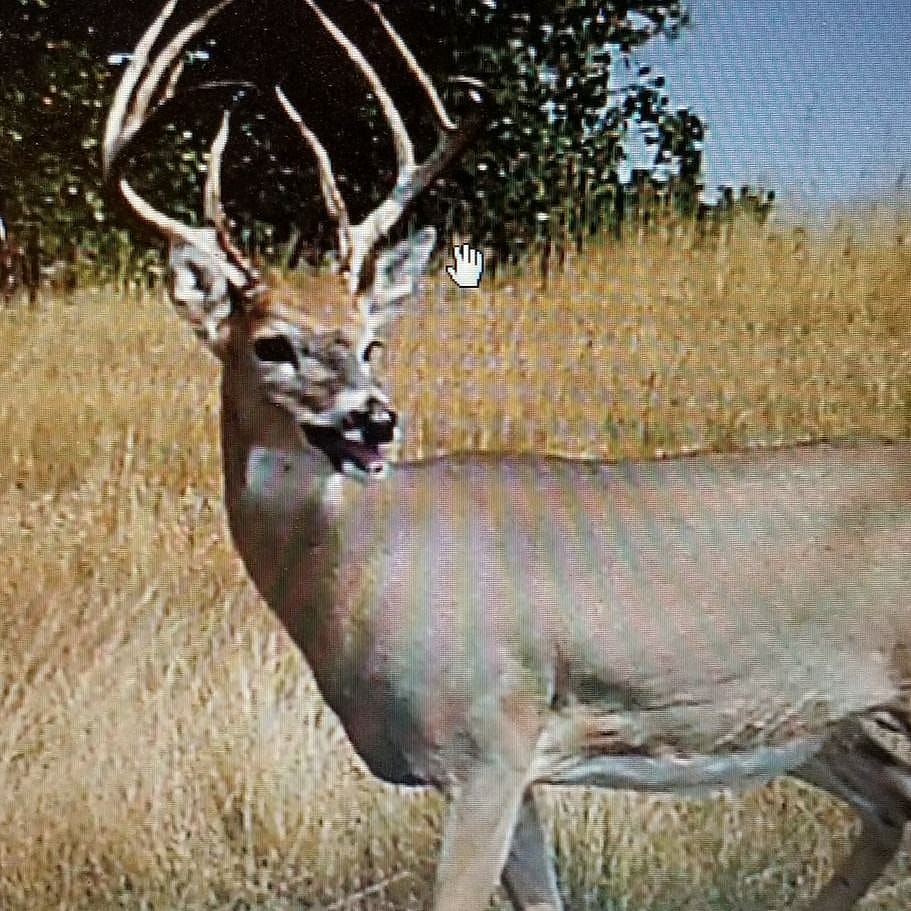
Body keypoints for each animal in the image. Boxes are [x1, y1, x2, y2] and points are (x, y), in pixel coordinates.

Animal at [102, 2, 911, 910]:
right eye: (271, 343)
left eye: (372, 341)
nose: (375, 422)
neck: (362, 571)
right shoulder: (515, 772)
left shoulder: (485, 745)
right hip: (822, 726)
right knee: (891, 800)